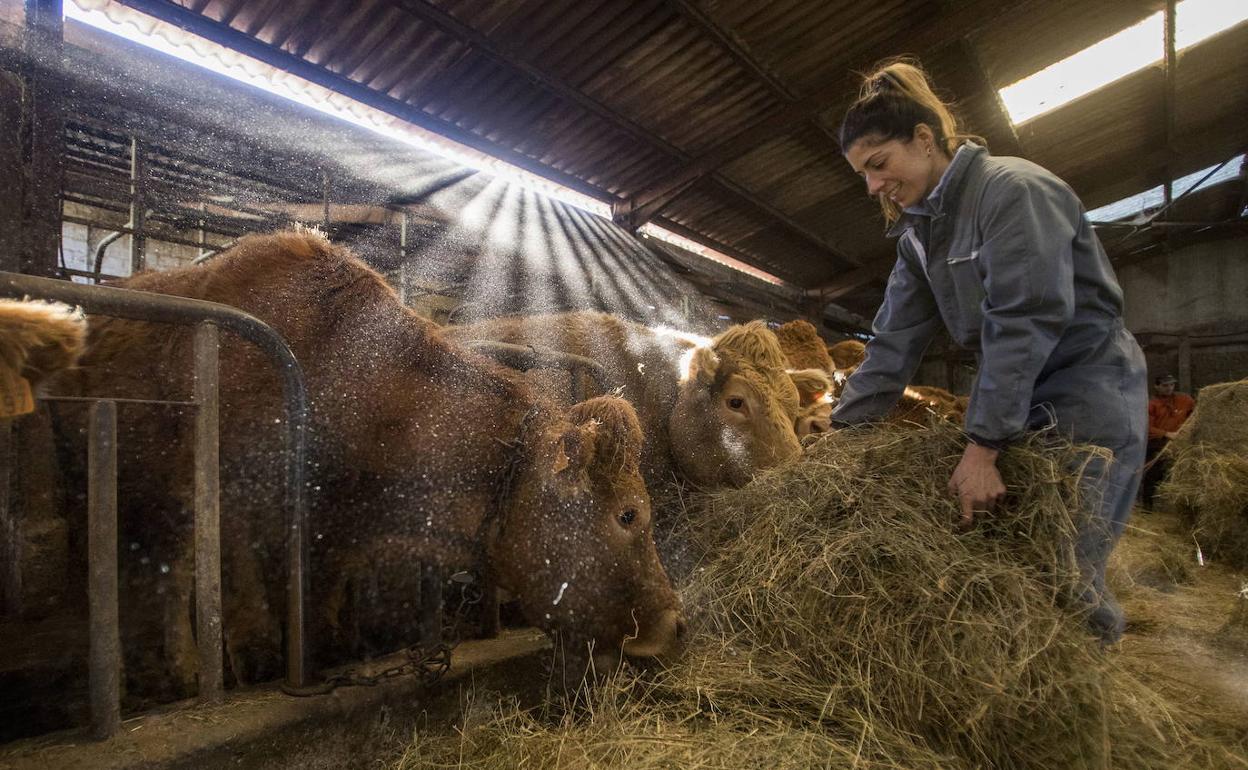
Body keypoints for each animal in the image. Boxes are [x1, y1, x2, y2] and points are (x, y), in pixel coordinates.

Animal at [53, 228, 683, 688]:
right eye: (629, 514)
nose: (672, 624)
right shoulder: (236, 503)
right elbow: (239, 592)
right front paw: (259, 659)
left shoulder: (332, 536)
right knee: (151, 569)